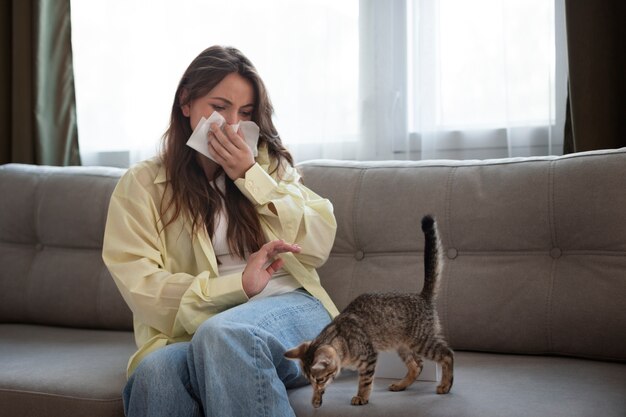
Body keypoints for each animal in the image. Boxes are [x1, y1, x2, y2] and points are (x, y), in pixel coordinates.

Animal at [284, 214, 454, 406]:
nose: (317, 385)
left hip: (422, 341)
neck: (343, 342)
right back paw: (401, 385)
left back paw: (445, 385)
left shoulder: (369, 357)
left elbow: (365, 380)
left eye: (319, 378)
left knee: (448, 355)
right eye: (311, 380)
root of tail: (422, 296)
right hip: (403, 346)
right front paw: (316, 399)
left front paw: (362, 396)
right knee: (417, 365)